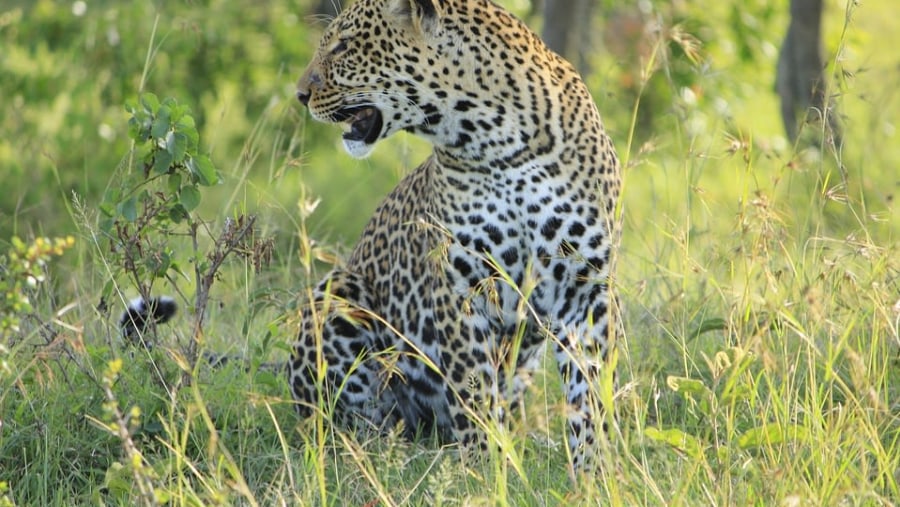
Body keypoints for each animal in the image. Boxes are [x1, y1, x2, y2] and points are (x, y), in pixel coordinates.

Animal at [292, 0, 624, 474]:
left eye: (343, 45)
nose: (300, 94)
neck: (499, 141)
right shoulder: (460, 287)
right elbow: (474, 394)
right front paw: (485, 472)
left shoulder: (586, 287)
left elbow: (590, 392)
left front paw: (595, 472)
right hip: (336, 293)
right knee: (357, 423)